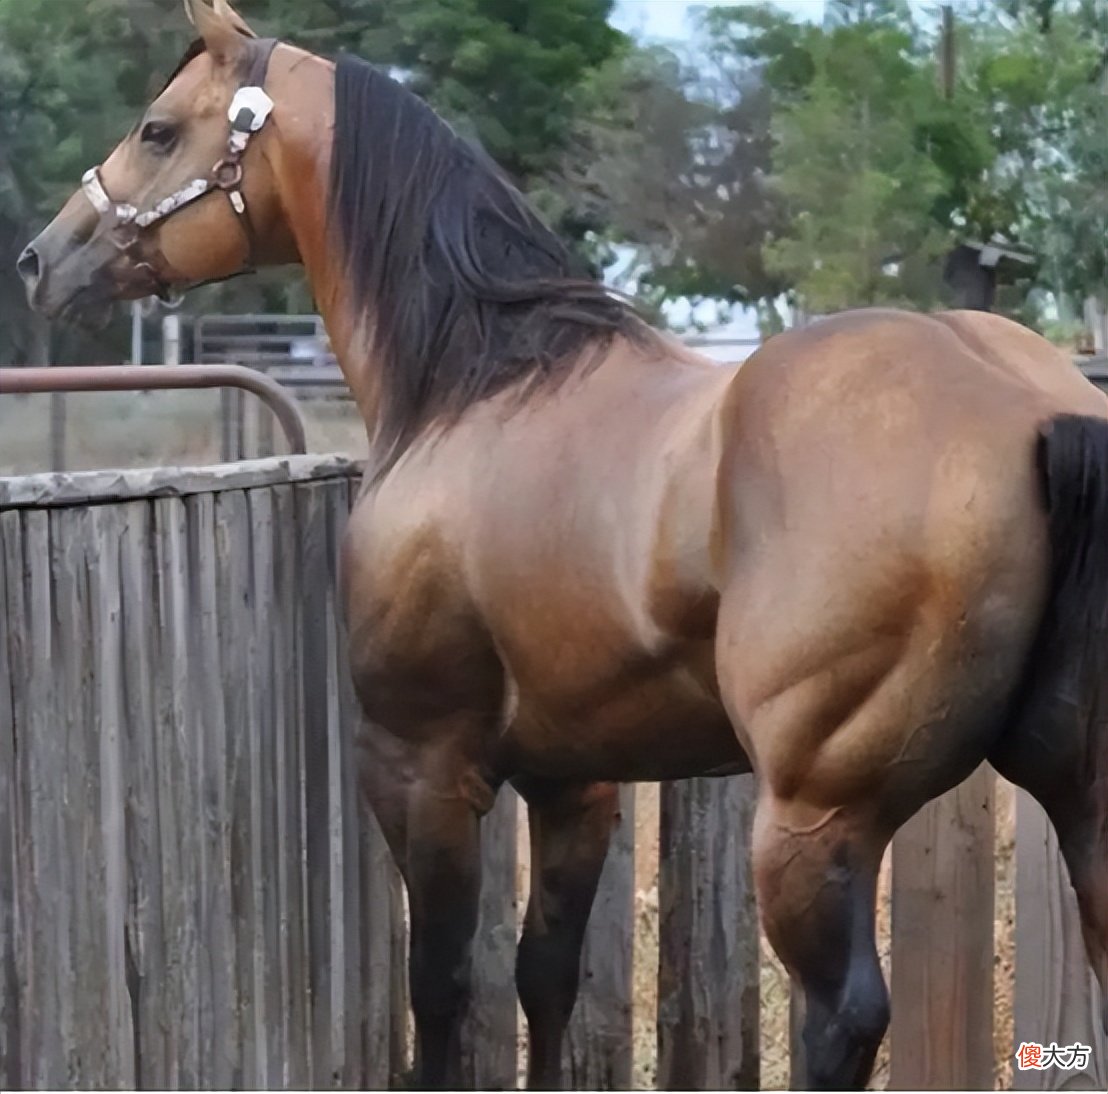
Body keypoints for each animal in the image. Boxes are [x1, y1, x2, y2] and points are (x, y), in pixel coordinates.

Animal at [17, 1, 1108, 1088]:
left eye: (159, 129)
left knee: (838, 1018)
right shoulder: (573, 783)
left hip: (812, 821)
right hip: (1077, 801)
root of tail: (1032, 407)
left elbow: (443, 986)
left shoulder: (420, 768)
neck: (477, 383)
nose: (40, 259)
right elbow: (546, 975)